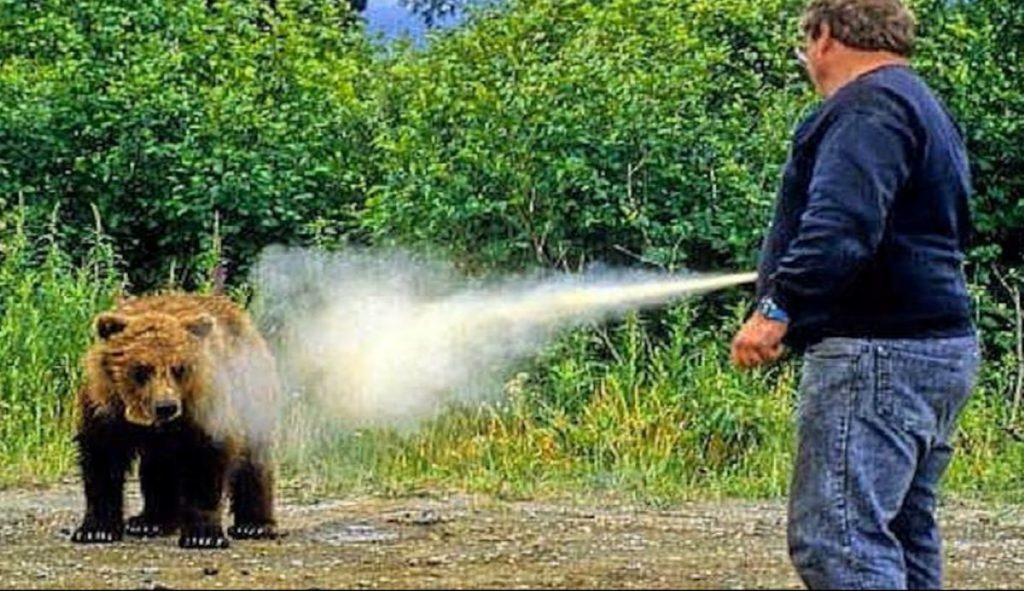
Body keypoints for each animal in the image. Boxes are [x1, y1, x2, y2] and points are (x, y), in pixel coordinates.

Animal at [71, 292, 279, 549]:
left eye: (179, 368)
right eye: (142, 369)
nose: (166, 406)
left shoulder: (206, 410)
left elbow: (206, 462)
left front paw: (203, 535)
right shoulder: (105, 408)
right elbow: (102, 463)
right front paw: (95, 530)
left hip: (250, 392)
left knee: (254, 457)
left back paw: (255, 525)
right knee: (158, 467)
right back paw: (150, 521)